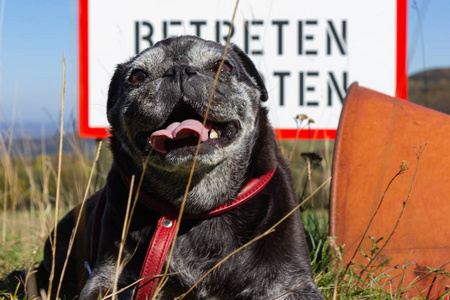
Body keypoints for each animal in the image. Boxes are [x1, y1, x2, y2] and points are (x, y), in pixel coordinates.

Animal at [7, 36, 324, 298]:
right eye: (137, 76)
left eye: (224, 67)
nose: (179, 70)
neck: (194, 207)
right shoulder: (109, 279)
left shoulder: (290, 282)